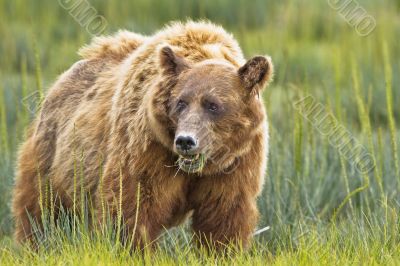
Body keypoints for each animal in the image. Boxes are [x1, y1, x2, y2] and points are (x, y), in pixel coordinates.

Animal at [13, 20, 276, 249]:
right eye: (181, 102)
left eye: (213, 105)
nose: (186, 141)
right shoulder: (147, 147)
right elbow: (131, 206)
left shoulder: (236, 163)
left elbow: (223, 216)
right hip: (54, 154)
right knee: (41, 208)